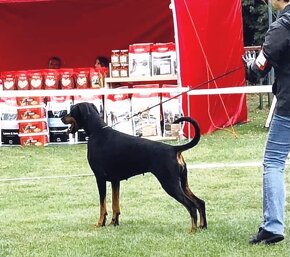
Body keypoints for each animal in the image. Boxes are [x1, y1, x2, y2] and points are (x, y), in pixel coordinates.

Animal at [61, 101, 206, 230]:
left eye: (71, 110)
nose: (61, 117)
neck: (97, 131)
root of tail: (174, 149)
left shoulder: (100, 177)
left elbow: (103, 205)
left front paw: (100, 223)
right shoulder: (115, 180)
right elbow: (115, 204)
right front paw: (114, 223)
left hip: (170, 183)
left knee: (191, 206)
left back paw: (192, 229)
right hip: (183, 183)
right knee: (200, 202)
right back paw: (202, 227)